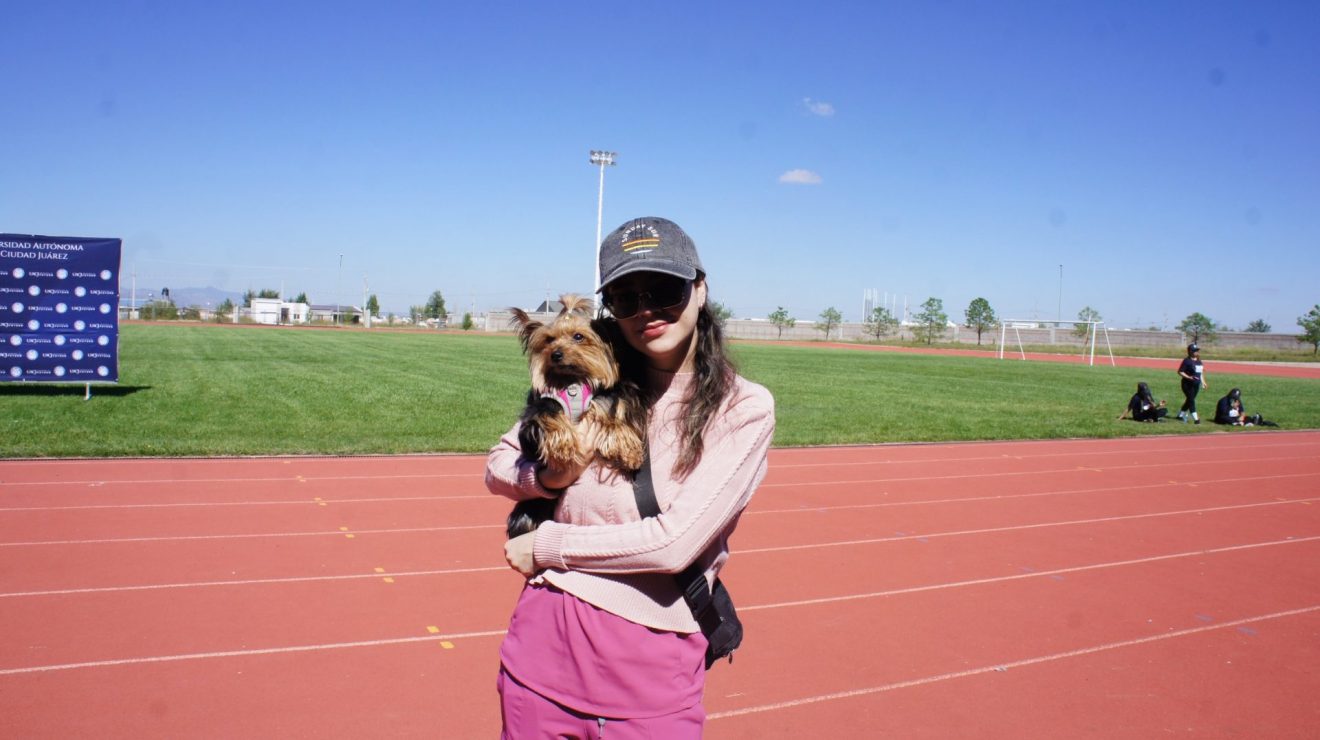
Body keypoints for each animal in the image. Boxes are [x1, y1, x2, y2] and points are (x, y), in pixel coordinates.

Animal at [505, 294, 646, 538]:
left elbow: (615, 418)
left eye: (578, 336)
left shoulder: (607, 396)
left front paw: (628, 449)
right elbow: (549, 416)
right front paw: (564, 445)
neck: (573, 382)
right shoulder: (540, 407)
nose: (556, 354)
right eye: (549, 340)